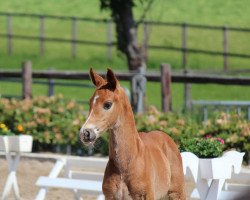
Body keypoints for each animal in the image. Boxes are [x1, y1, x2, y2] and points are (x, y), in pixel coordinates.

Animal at [79, 69, 186, 200]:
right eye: (90, 102)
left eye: (107, 104)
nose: (85, 133)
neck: (126, 165)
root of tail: (166, 137)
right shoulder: (110, 196)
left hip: (176, 193)